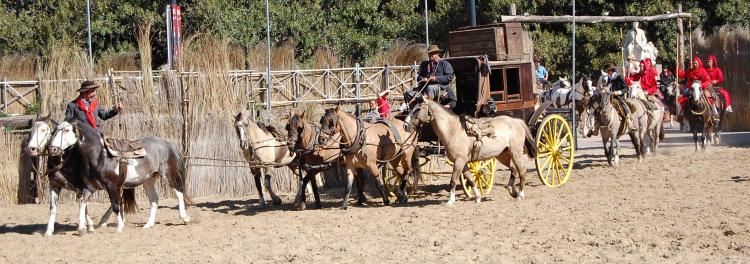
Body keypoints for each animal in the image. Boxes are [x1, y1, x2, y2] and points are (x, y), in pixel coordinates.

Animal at [47, 119, 192, 233]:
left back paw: (185, 218)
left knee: (179, 192)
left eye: (67, 130)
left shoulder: (111, 185)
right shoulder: (90, 187)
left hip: (168, 175)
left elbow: (116, 205)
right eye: (54, 131)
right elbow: (82, 202)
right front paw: (83, 228)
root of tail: (166, 143)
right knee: (154, 199)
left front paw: (119, 227)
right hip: (149, 180)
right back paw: (148, 224)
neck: (100, 155)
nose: (53, 149)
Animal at [408, 98, 536, 205]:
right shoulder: (463, 163)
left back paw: (520, 195)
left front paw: (450, 201)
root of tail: (516, 121)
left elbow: (453, 180)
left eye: (418, 109)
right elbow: (470, 179)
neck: (452, 130)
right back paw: (512, 191)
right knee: (513, 169)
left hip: (516, 153)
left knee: (522, 171)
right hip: (503, 155)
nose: (406, 125)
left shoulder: (459, 161)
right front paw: (478, 197)